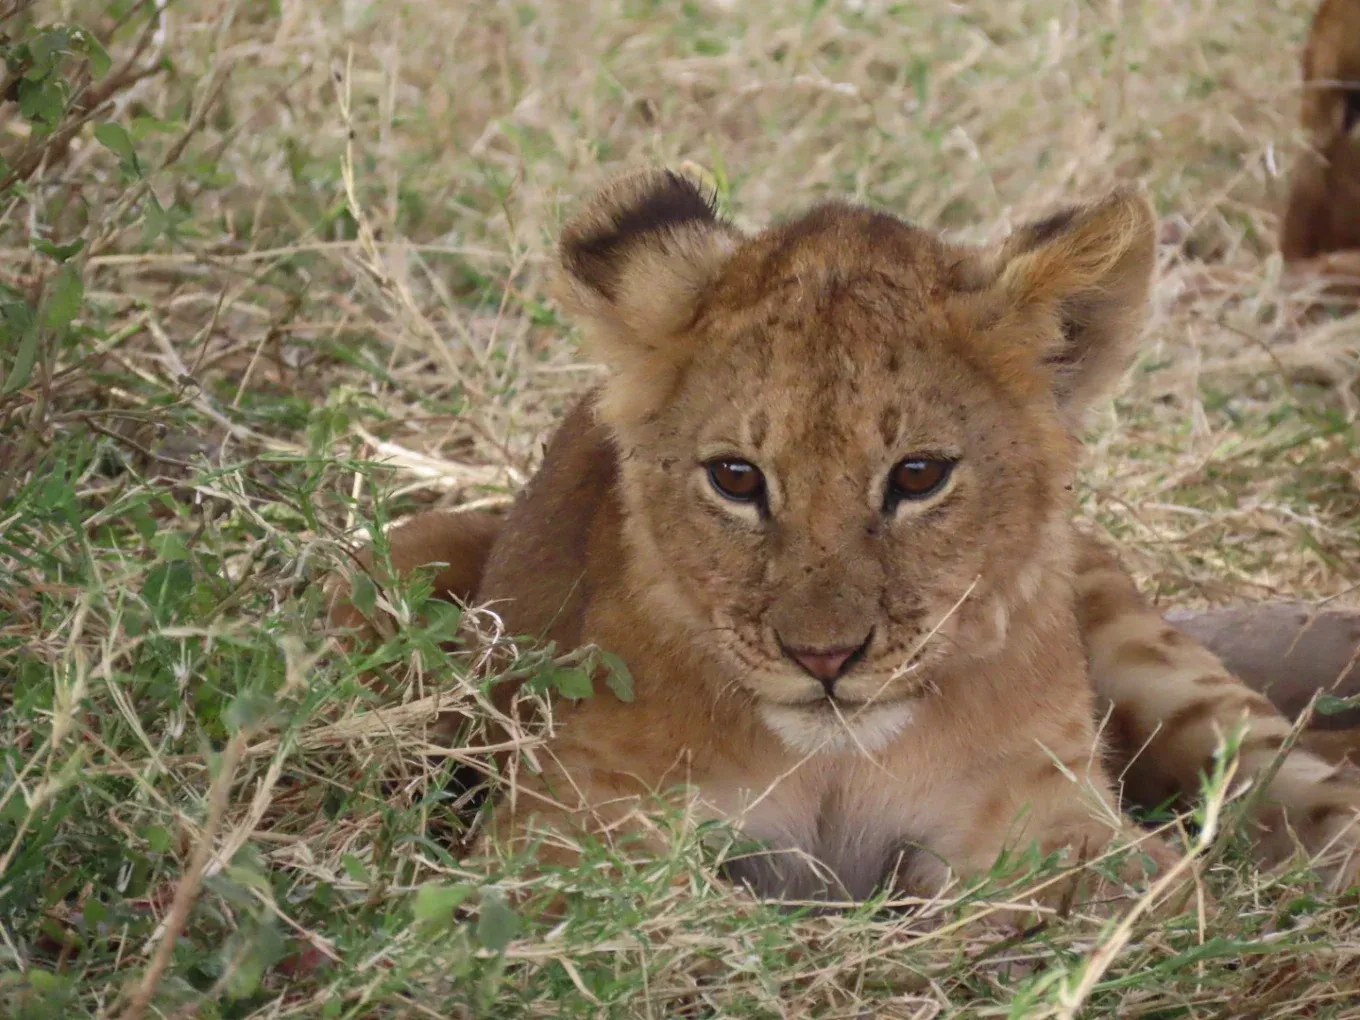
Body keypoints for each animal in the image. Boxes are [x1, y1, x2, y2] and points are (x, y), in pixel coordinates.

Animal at [330, 168, 1360, 907]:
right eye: (736, 479)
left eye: (919, 476)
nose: (824, 659)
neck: (838, 764)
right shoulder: (566, 816)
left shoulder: (1049, 804)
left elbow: (1127, 892)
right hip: (400, 558)